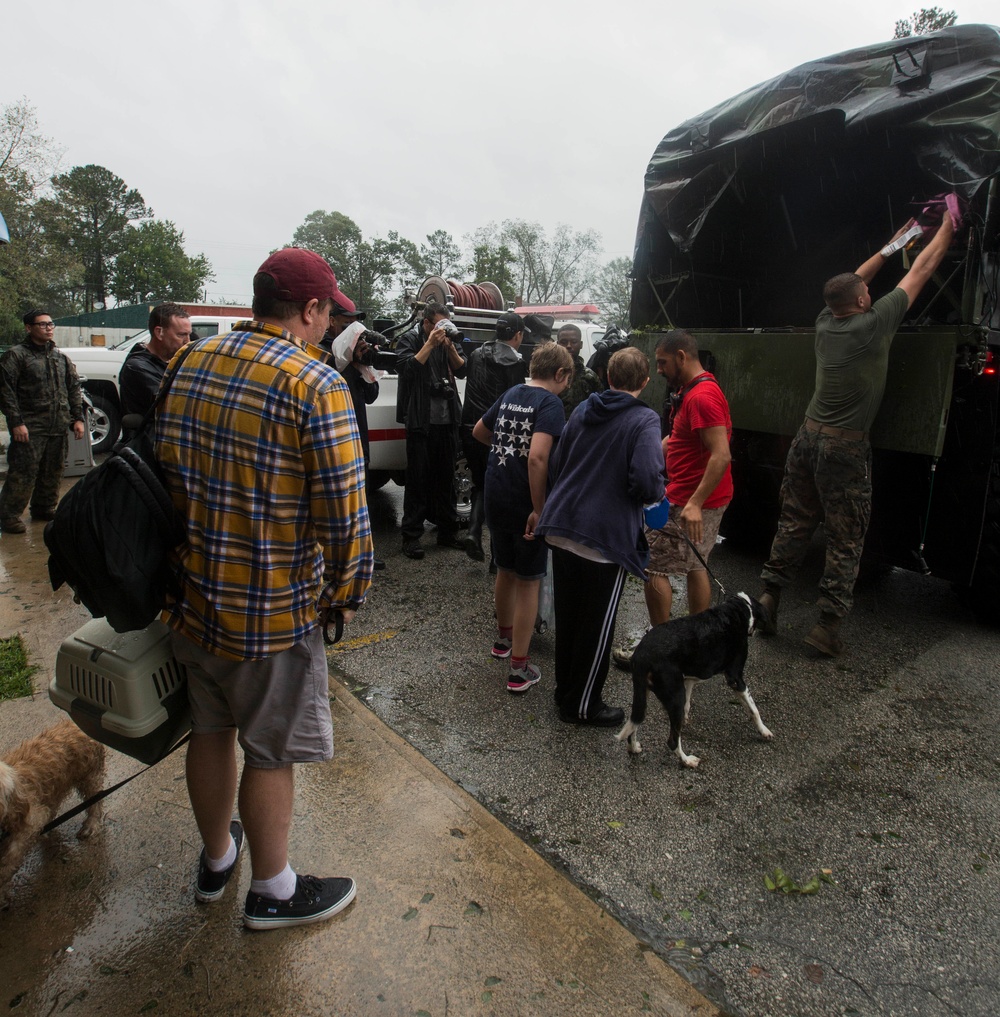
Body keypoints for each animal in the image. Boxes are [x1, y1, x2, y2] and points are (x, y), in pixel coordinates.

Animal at [0, 720, 106, 886]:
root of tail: (71, 723)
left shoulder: (32, 819)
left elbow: (13, 852)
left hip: (89, 776)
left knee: (95, 804)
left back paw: (91, 825)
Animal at [618, 593, 773, 764]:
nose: (754, 632)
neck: (736, 610)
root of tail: (642, 654)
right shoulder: (735, 678)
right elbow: (754, 709)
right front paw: (764, 730)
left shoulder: (688, 680)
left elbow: (688, 702)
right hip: (675, 696)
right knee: (672, 741)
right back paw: (687, 761)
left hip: (644, 693)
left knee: (634, 725)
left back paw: (633, 748)